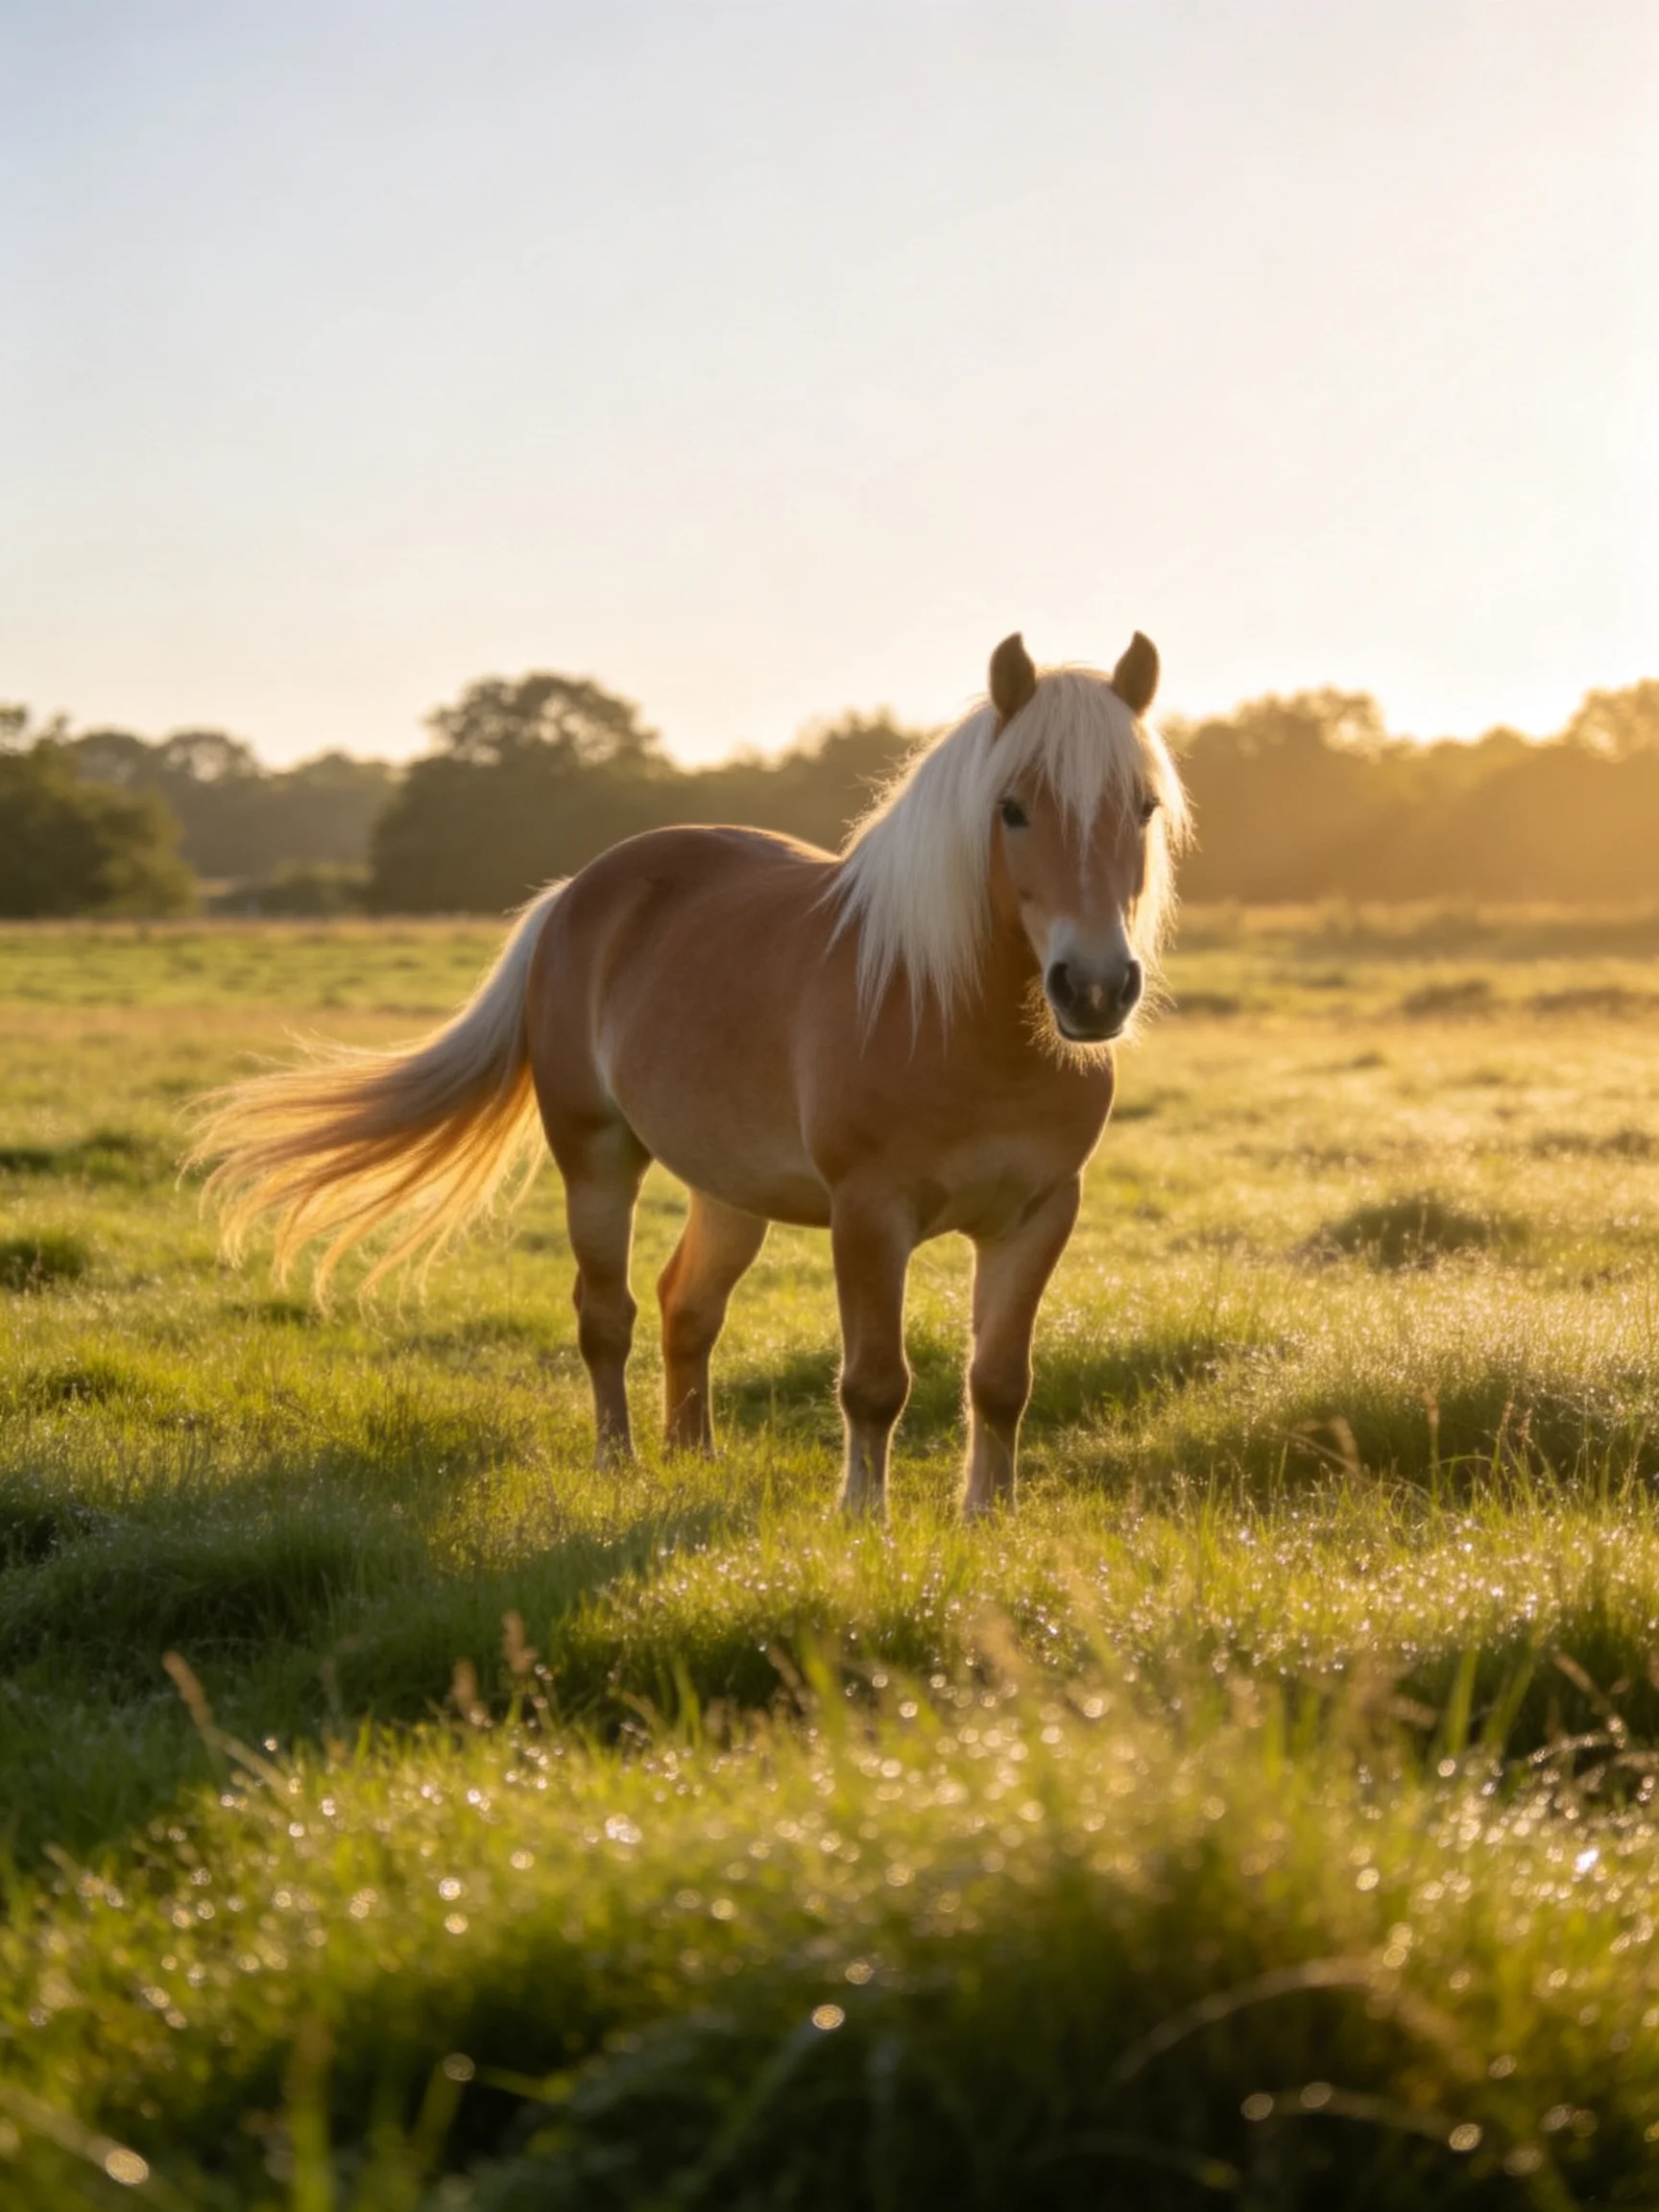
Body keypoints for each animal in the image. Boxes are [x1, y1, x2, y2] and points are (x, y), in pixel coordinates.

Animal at [194, 632, 1189, 1518]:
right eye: (1013, 808)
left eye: (1143, 807)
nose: (1094, 987)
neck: (955, 1020)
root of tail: (576, 893)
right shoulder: (870, 1215)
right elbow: (874, 1382)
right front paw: (863, 1519)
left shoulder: (1040, 1214)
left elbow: (1000, 1380)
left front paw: (989, 1516)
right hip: (596, 1160)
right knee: (608, 1312)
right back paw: (620, 1462)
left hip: (730, 1189)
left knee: (688, 1304)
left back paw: (693, 1457)